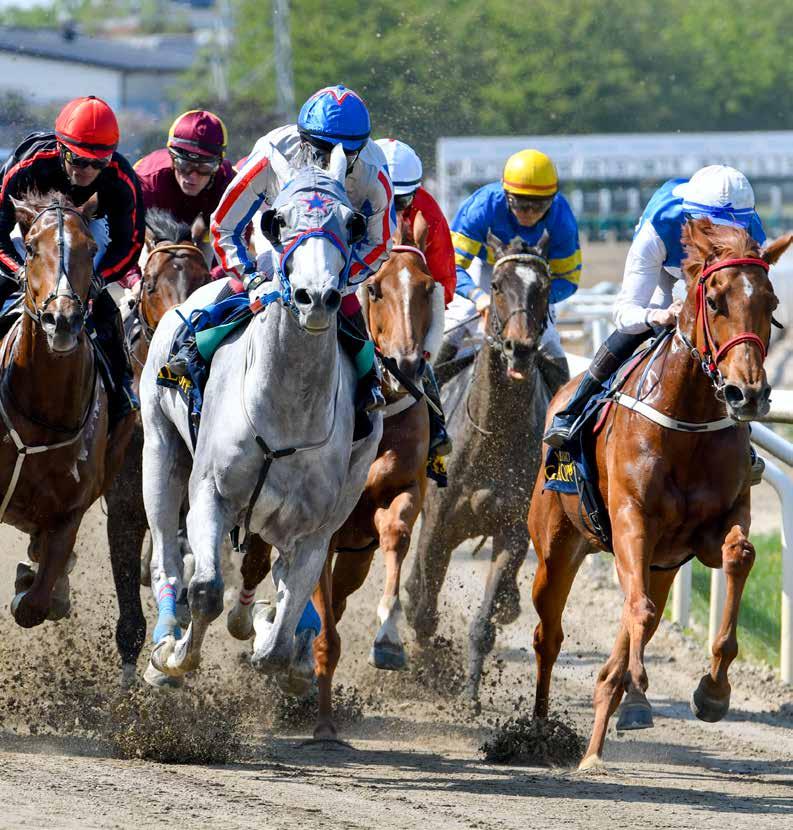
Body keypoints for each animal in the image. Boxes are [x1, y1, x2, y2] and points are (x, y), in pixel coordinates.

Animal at [1, 190, 135, 632]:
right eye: (29, 248)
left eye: (91, 249)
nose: (62, 320)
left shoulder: (70, 511)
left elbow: (34, 605)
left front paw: (40, 589)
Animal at [141, 148, 382, 688]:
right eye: (276, 220)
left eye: (354, 222)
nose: (317, 297)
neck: (286, 409)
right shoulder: (210, 491)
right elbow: (205, 589)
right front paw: (176, 656)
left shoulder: (314, 529)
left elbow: (278, 639)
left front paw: (277, 639)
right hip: (159, 447)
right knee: (167, 551)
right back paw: (165, 640)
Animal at [402, 237, 552, 700]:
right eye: (498, 285)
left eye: (544, 287)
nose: (520, 348)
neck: (494, 434)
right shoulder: (438, 525)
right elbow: (423, 609)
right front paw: (427, 668)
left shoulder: (512, 533)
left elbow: (483, 624)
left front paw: (469, 692)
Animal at [524, 218, 792, 772]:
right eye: (715, 300)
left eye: (772, 301)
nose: (749, 394)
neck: (687, 422)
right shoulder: (632, 520)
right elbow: (640, 612)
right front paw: (640, 687)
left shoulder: (711, 527)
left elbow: (739, 555)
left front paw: (713, 692)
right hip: (556, 546)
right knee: (549, 634)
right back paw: (540, 733)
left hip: (662, 564)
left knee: (631, 614)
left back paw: (599, 737)